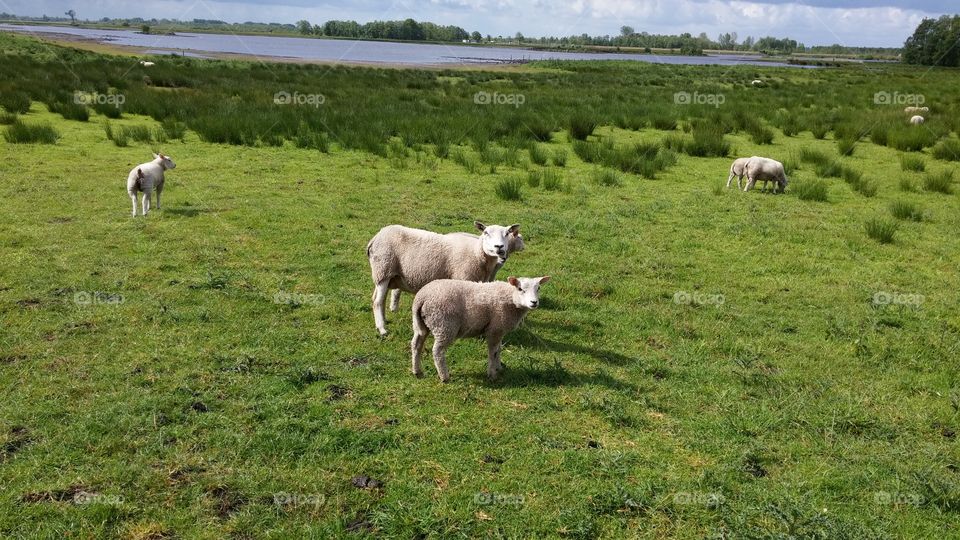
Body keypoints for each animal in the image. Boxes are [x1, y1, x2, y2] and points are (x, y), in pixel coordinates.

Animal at [411, 276, 550, 382]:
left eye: (538, 288)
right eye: (520, 289)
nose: (534, 302)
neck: (510, 298)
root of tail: (422, 298)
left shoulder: (499, 330)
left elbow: (499, 349)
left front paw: (499, 368)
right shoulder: (494, 329)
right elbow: (493, 352)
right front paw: (492, 374)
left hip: (421, 325)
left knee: (416, 344)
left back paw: (417, 371)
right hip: (444, 325)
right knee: (437, 351)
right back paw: (444, 376)